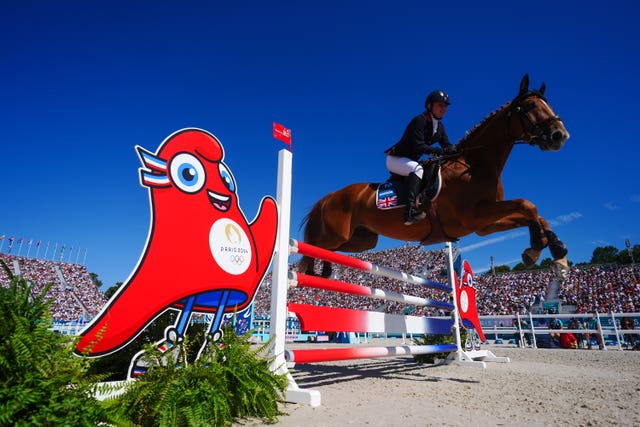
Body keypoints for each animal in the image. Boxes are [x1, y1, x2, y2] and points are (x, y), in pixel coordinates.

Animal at [298, 75, 568, 280]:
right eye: (530, 106)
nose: (560, 135)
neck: (475, 164)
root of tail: (329, 197)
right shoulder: (473, 217)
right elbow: (527, 205)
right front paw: (541, 249)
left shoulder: (484, 224)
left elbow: (532, 211)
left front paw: (551, 250)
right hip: (337, 234)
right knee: (314, 245)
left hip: (362, 240)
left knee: (329, 249)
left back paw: (324, 270)